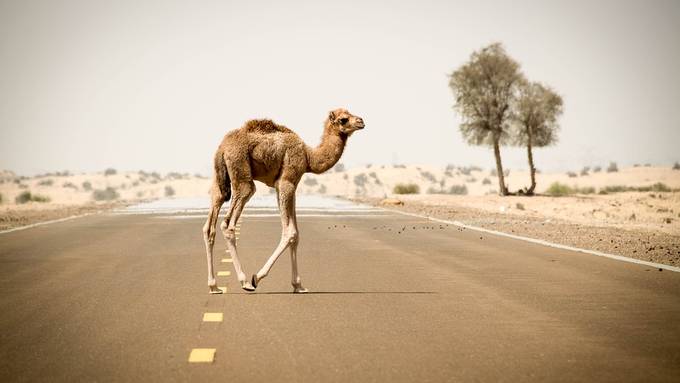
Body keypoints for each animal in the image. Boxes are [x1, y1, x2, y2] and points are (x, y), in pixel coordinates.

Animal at [203, 109, 366, 296]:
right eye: (343, 119)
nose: (361, 121)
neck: (308, 156)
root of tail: (222, 148)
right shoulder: (286, 182)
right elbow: (290, 233)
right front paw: (257, 277)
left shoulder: (289, 187)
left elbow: (296, 234)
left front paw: (299, 285)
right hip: (241, 173)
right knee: (229, 224)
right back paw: (245, 282)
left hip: (219, 179)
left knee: (210, 224)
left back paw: (214, 286)